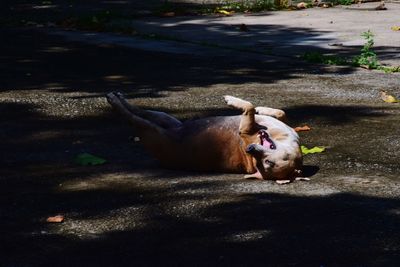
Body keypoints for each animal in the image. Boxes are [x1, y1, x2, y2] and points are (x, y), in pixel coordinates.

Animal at [108, 93, 302, 181]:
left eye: (267, 163)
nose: (250, 148)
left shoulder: (245, 130)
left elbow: (249, 107)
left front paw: (234, 101)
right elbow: (277, 112)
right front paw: (264, 110)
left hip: (152, 131)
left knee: (133, 117)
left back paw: (115, 102)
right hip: (166, 118)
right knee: (141, 110)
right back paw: (119, 97)